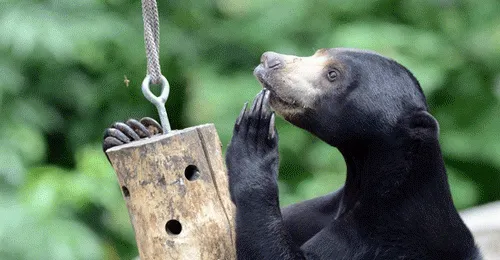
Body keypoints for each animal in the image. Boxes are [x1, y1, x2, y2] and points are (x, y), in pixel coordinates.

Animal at [103, 48, 482, 258]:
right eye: (318, 52)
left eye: (333, 74)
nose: (269, 60)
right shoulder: (316, 211)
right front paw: (130, 132)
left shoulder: (383, 237)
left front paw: (254, 138)